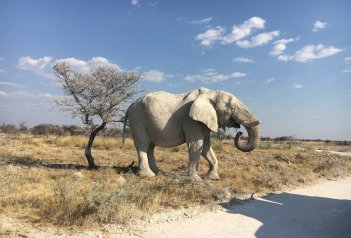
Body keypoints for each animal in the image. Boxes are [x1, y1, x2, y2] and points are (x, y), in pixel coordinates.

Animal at [123, 87, 258, 180]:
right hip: (138, 120)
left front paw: (212, 178)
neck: (211, 92)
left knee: (150, 147)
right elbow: (197, 144)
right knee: (142, 145)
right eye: (232, 108)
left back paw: (158, 172)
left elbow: (206, 147)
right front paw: (196, 179)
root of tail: (129, 107)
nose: (240, 132)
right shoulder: (191, 120)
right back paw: (148, 175)